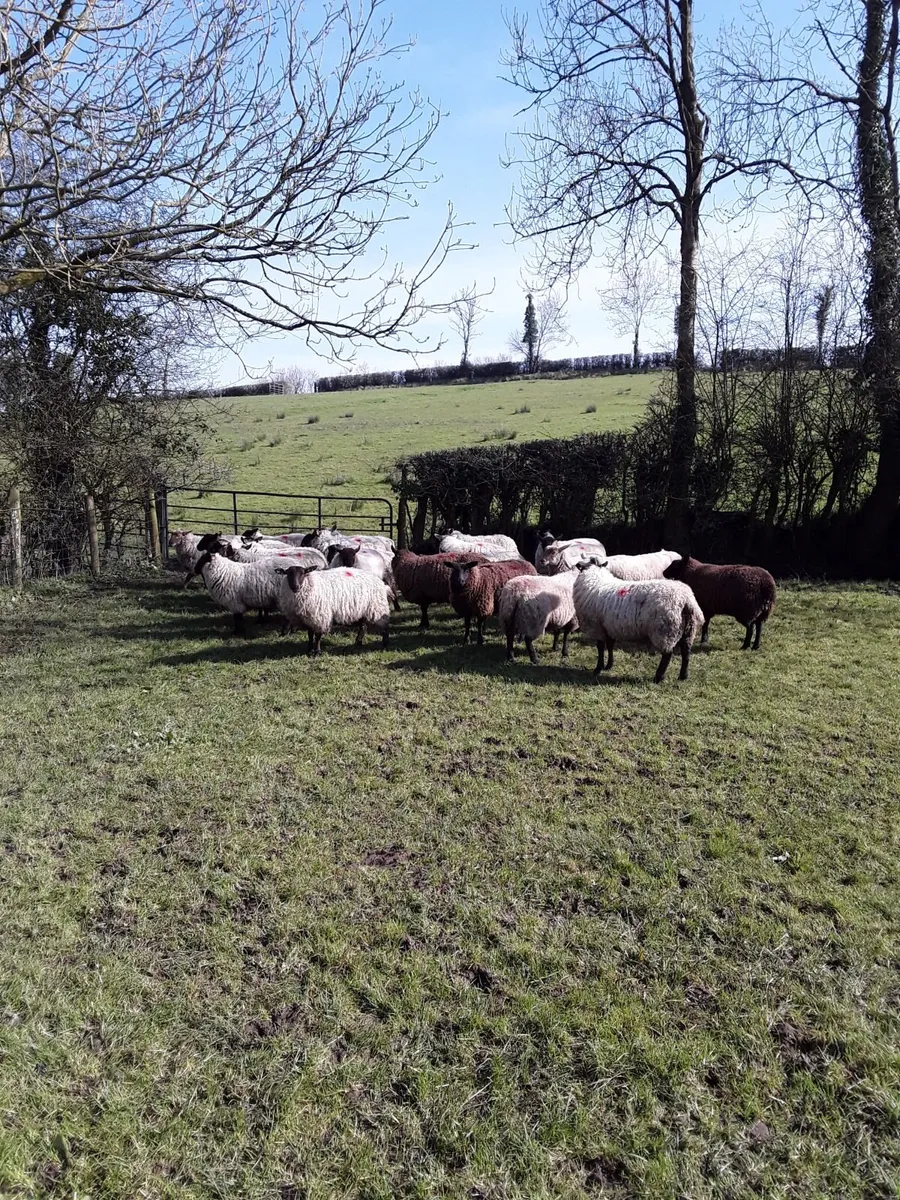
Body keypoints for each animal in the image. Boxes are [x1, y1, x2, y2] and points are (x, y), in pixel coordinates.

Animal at [573, 558, 704, 683]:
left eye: (586, 563)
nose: (577, 564)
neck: (595, 579)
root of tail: (687, 600)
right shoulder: (609, 627)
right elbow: (610, 646)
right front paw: (609, 665)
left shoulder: (597, 627)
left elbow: (600, 648)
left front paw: (598, 669)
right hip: (688, 629)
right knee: (686, 652)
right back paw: (683, 676)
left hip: (665, 629)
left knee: (667, 655)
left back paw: (658, 677)